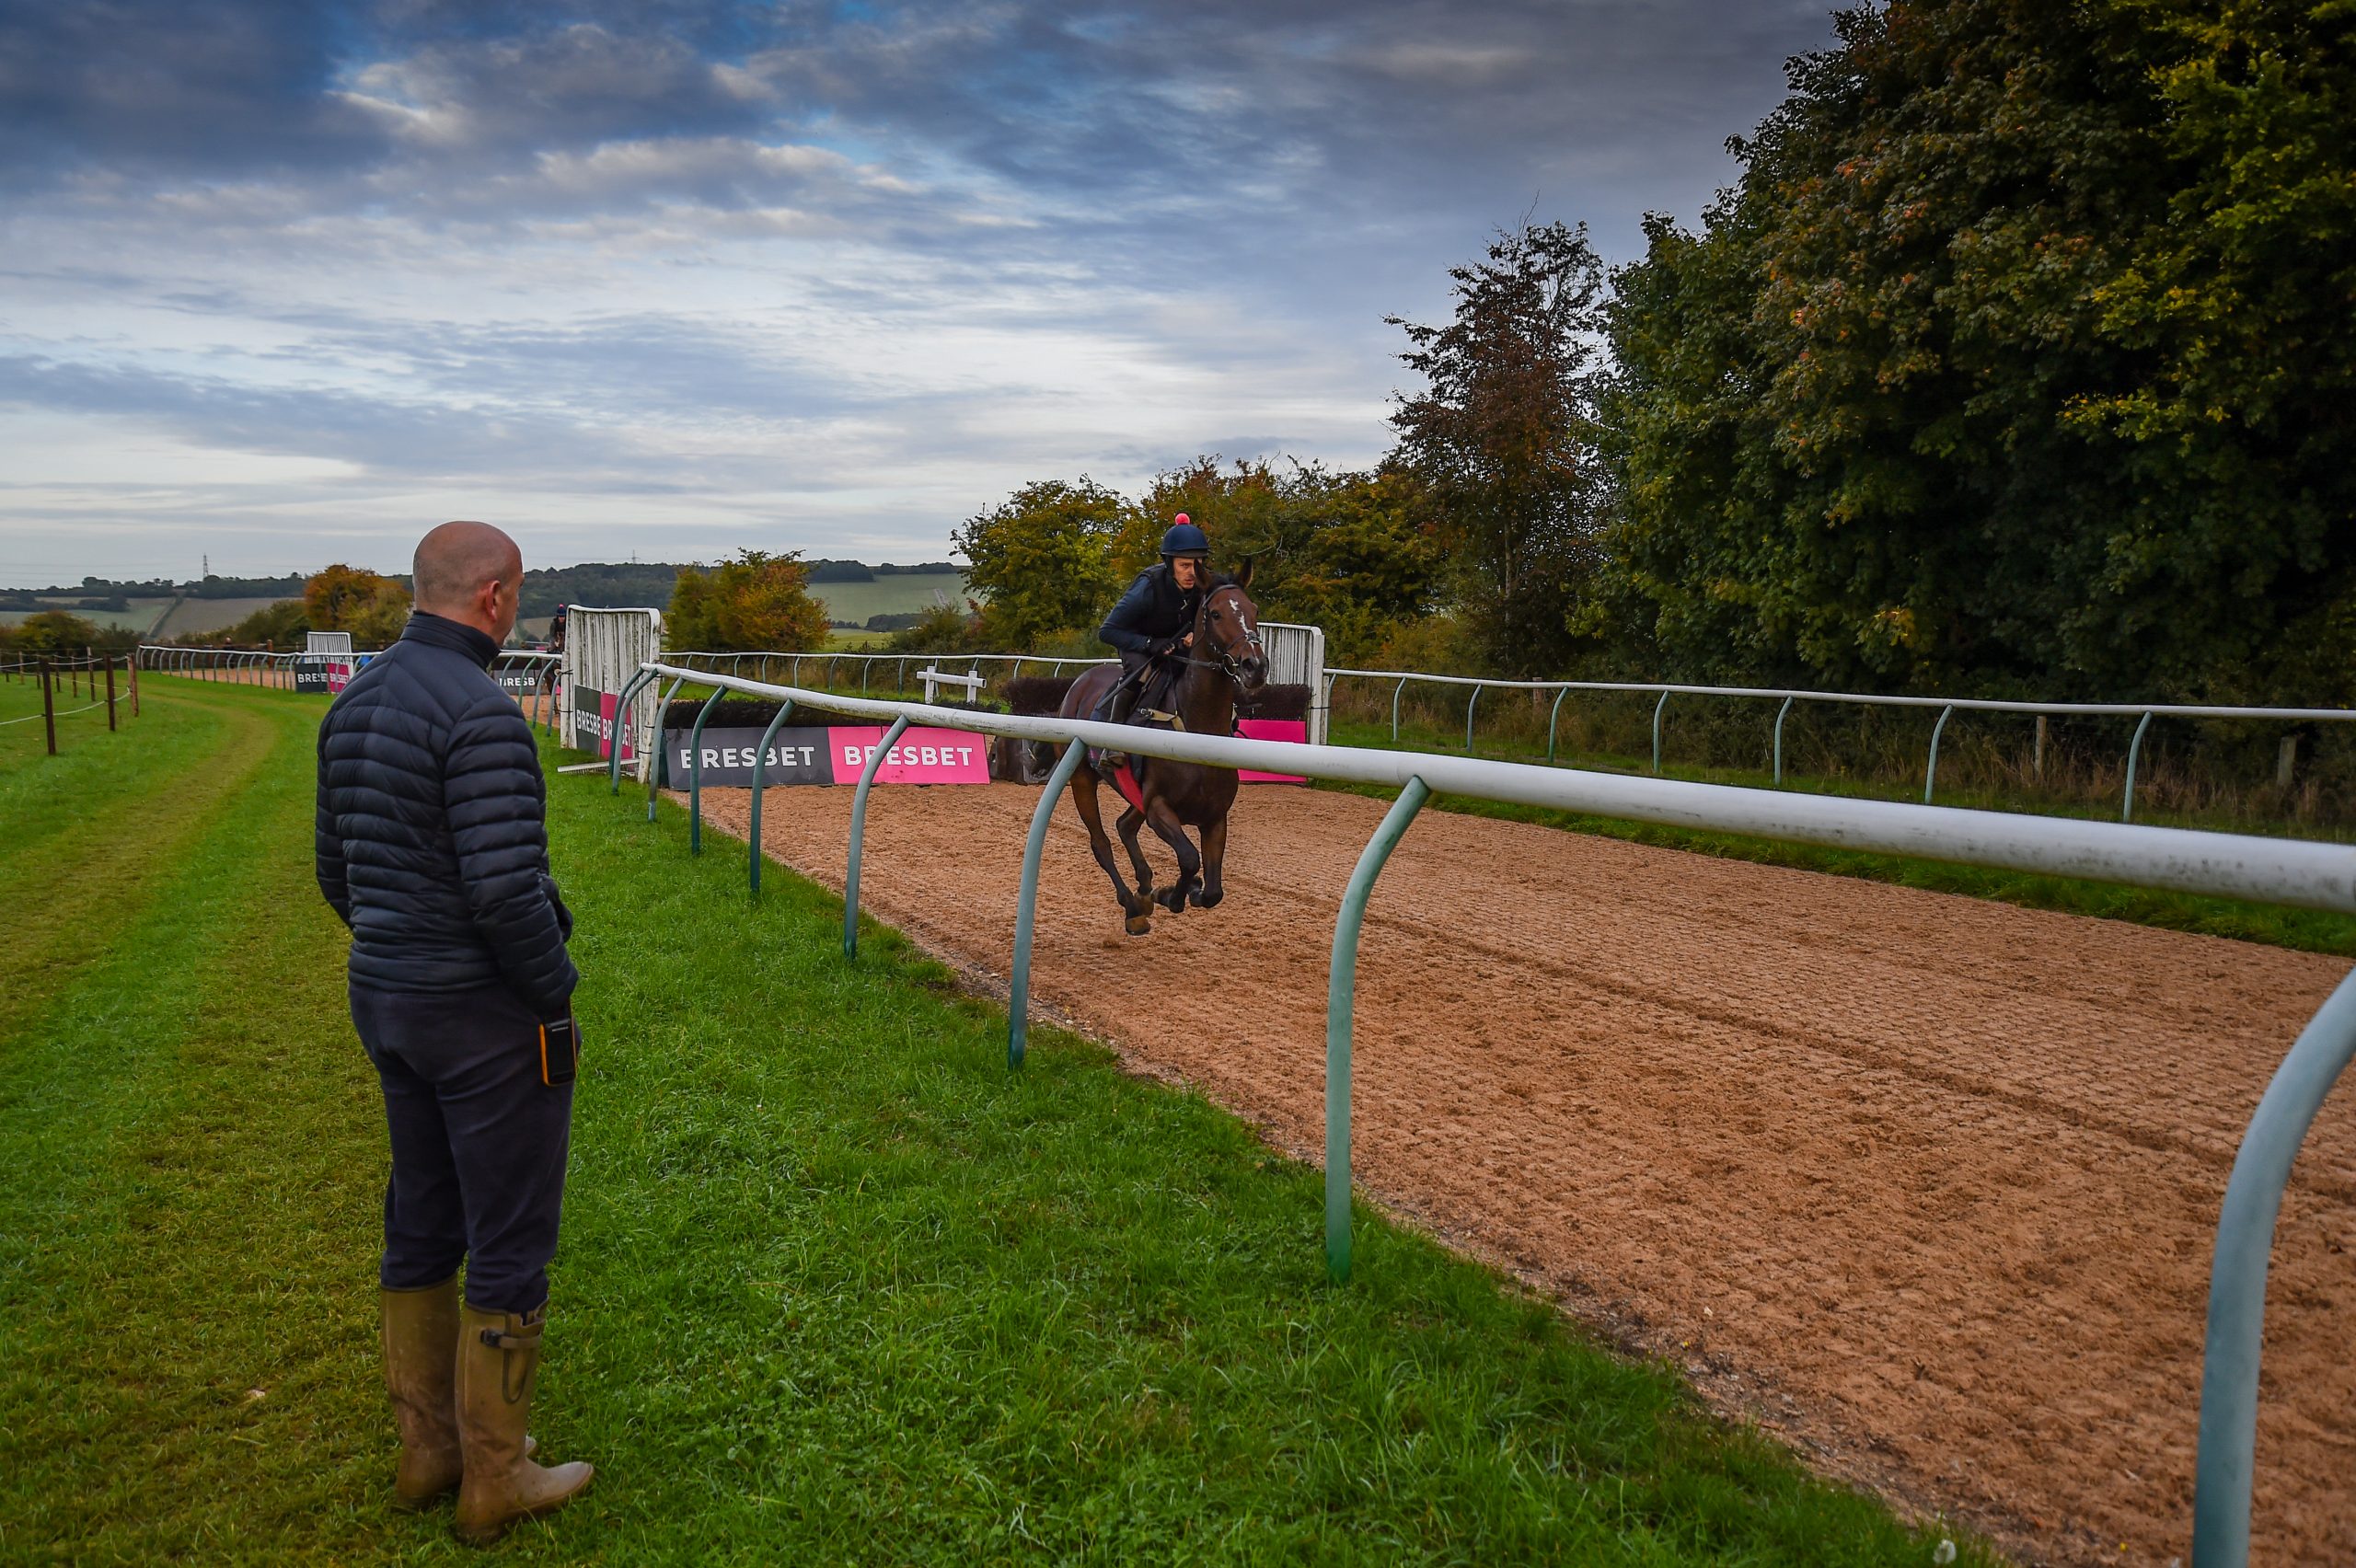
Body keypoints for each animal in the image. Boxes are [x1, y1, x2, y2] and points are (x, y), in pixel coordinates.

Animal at [1060, 562, 1272, 928]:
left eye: (1254, 610)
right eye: (1215, 613)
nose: (1254, 666)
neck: (1198, 731)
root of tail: (1081, 681)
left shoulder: (1215, 817)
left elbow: (1214, 891)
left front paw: (1185, 891)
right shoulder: (1159, 808)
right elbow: (1188, 858)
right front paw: (1171, 895)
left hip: (1135, 794)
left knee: (1124, 826)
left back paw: (1145, 886)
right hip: (1082, 779)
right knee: (1101, 842)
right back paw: (1133, 906)